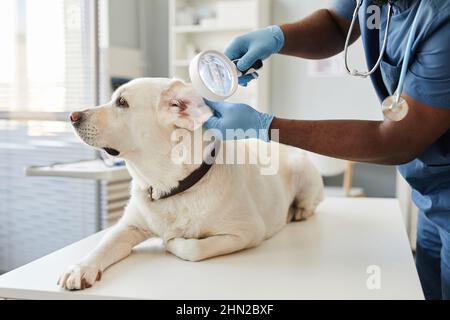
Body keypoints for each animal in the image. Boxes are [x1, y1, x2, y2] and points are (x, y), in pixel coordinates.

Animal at [58, 77, 324, 290]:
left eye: (122, 102)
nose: (72, 116)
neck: (171, 186)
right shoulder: (128, 226)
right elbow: (103, 245)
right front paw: (80, 268)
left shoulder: (247, 232)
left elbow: (195, 248)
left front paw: (172, 242)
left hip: (304, 172)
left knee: (311, 203)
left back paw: (297, 211)